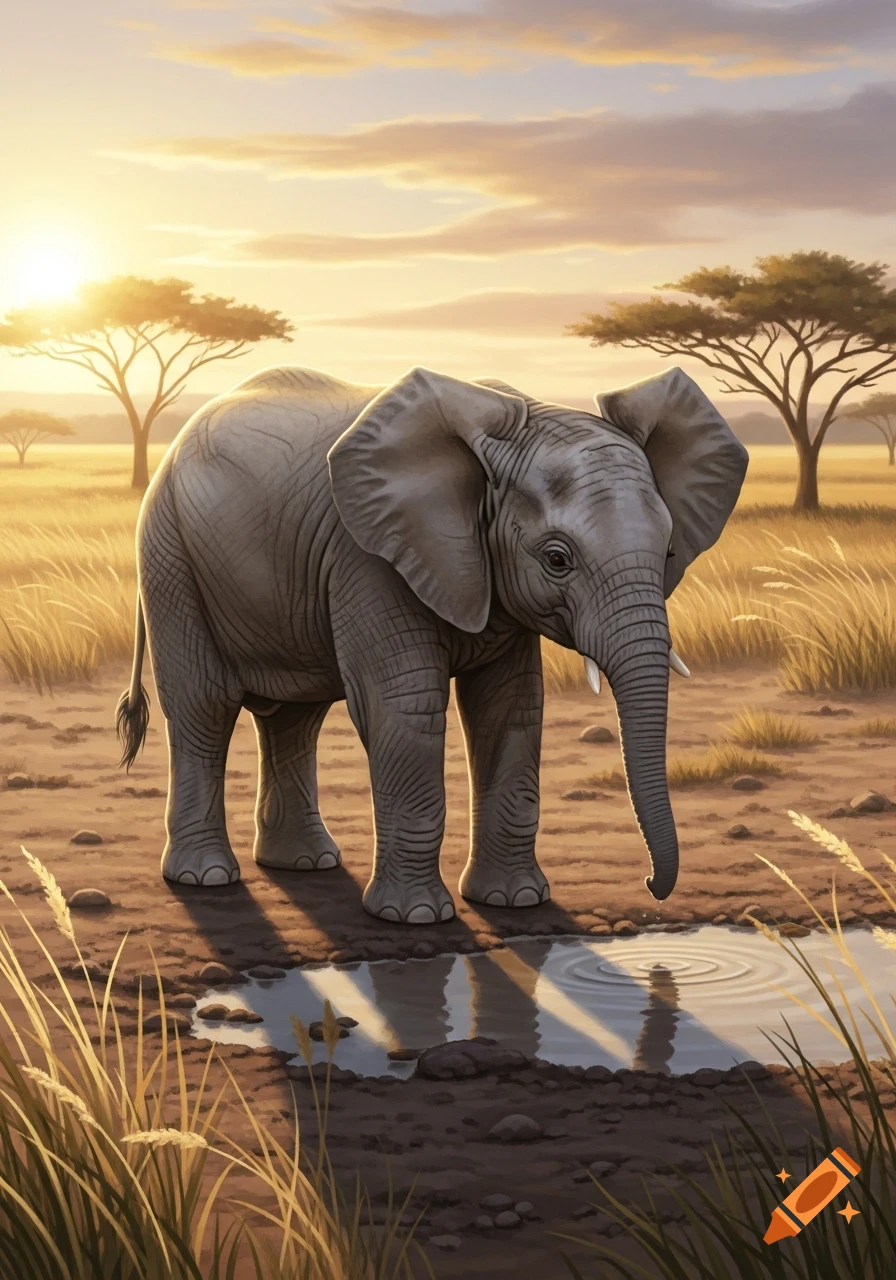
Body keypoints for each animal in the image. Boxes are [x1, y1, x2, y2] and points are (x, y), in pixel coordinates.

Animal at [116, 363, 747, 924]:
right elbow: (405, 706)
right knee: (203, 706)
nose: (650, 884)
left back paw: (305, 864)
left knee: (296, 718)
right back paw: (204, 877)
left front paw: (515, 901)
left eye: (669, 551)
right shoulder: (368, 558)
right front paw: (415, 917)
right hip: (169, 554)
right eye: (557, 559)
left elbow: (510, 709)